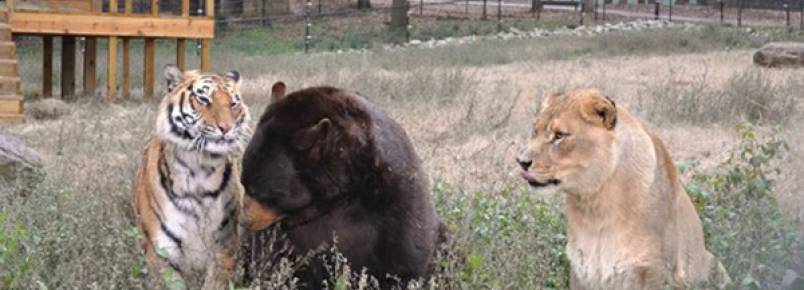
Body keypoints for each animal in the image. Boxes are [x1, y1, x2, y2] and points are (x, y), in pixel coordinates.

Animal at [133, 64, 251, 288]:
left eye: (233, 104)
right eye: (204, 99)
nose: (226, 128)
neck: (200, 169)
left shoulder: (225, 247)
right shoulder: (161, 252)